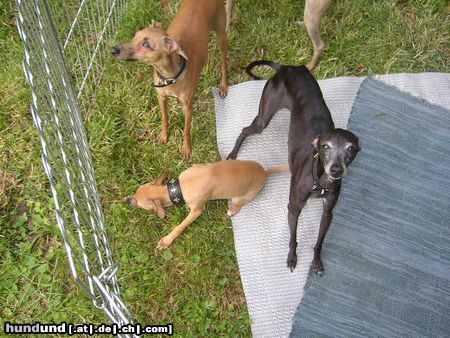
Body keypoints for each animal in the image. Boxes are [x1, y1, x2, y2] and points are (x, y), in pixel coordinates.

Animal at [112, 0, 229, 158]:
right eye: (135, 35)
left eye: (146, 44)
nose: (114, 50)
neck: (169, 77)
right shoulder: (161, 98)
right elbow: (164, 118)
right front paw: (164, 136)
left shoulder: (188, 107)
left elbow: (186, 130)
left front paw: (186, 148)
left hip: (221, 34)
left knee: (224, 62)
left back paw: (223, 86)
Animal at [126, 160, 288, 250]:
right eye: (136, 191)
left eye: (138, 202)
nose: (126, 200)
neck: (179, 188)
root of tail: (265, 173)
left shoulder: (196, 210)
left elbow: (180, 226)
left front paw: (167, 240)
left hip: (239, 197)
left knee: (241, 203)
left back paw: (233, 210)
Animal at [227, 60, 360, 274]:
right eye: (325, 146)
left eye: (351, 149)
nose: (336, 170)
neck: (320, 181)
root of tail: (286, 67)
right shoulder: (293, 208)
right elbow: (293, 238)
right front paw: (292, 257)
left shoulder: (328, 212)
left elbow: (319, 241)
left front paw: (316, 261)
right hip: (265, 114)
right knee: (246, 130)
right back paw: (233, 153)